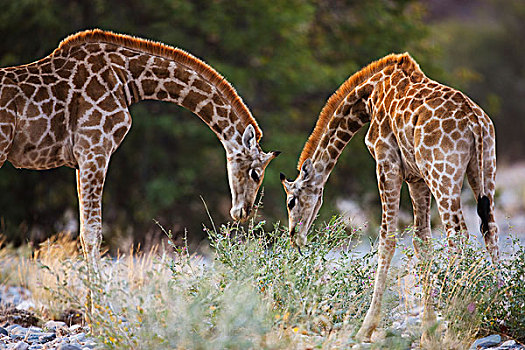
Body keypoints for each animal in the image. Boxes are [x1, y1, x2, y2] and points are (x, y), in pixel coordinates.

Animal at [0, 29, 278, 270]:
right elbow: (92, 234)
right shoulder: (94, 149)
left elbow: (84, 233)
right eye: (255, 173)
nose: (243, 212)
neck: (128, 79)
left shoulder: (82, 159)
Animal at [280, 53, 498, 340]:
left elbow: (387, 239)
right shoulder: (416, 178)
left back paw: (458, 317)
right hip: (483, 167)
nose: (295, 237)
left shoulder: (386, 163)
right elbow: (421, 242)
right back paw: (501, 304)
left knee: (458, 234)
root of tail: (474, 119)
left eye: (291, 201)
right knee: (489, 230)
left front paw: (365, 329)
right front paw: (428, 331)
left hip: (443, 174)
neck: (368, 97)